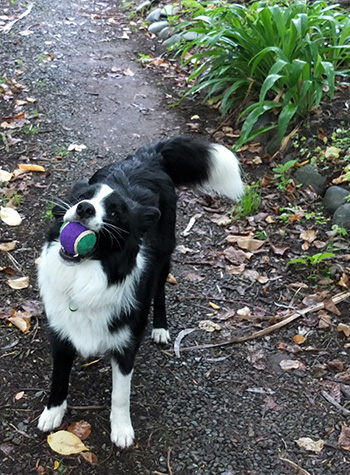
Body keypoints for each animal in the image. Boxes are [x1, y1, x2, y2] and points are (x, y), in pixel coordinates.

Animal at [36, 136, 243, 448]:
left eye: (114, 212)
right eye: (82, 197)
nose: (84, 208)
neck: (87, 277)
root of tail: (147, 158)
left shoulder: (126, 344)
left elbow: (121, 394)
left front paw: (121, 429)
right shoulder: (61, 332)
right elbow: (58, 378)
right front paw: (53, 412)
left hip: (165, 256)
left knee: (160, 290)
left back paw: (160, 328)